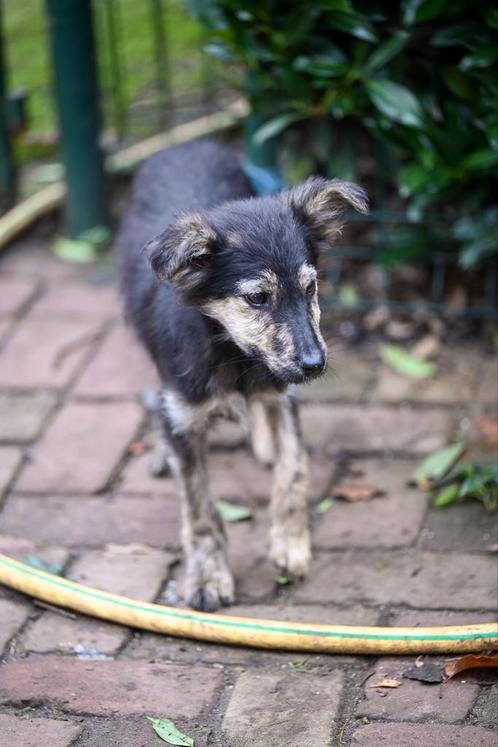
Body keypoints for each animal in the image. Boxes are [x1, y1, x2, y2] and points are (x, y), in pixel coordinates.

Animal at [115, 137, 366, 612]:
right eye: (257, 298)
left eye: (310, 288)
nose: (315, 365)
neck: (234, 355)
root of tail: (186, 143)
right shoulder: (184, 417)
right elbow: (200, 509)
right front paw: (207, 579)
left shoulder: (284, 396)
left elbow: (294, 468)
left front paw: (290, 544)